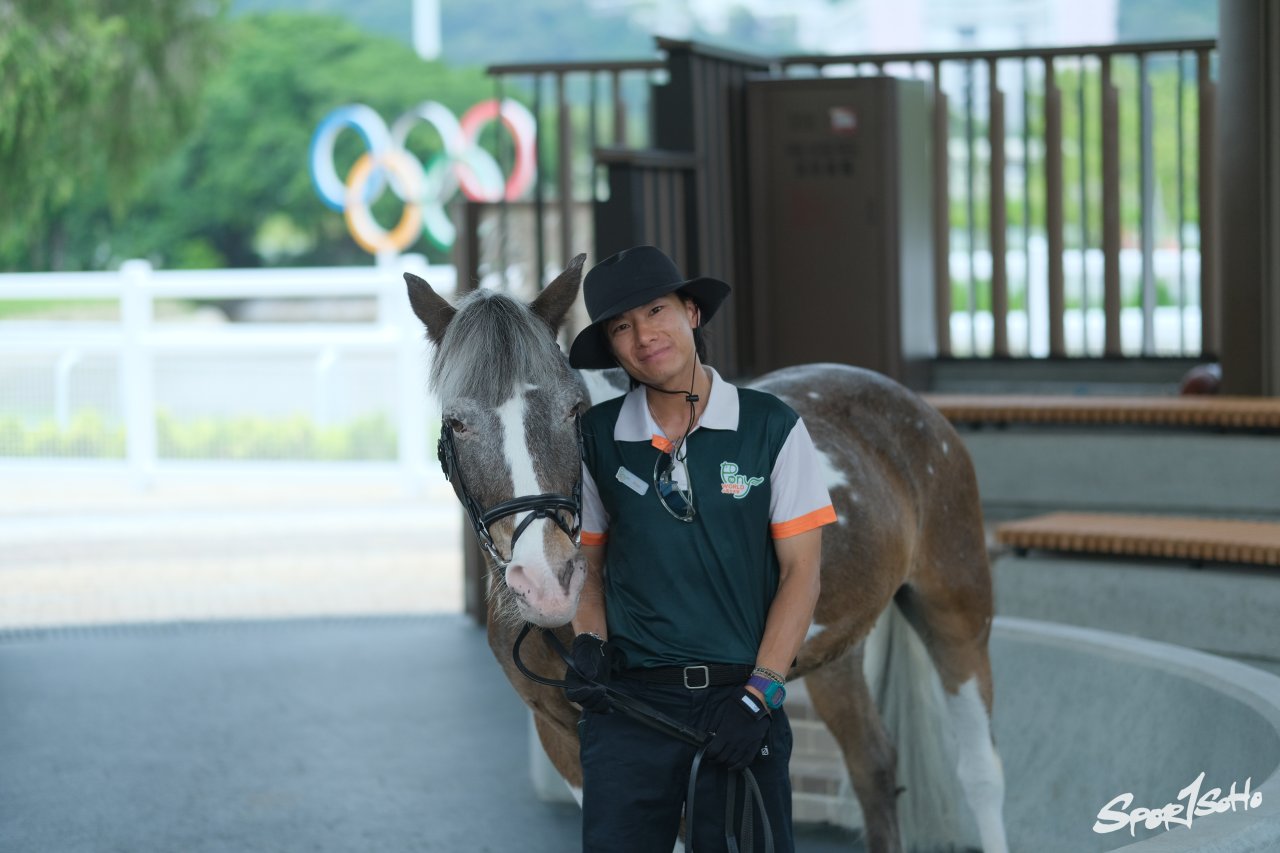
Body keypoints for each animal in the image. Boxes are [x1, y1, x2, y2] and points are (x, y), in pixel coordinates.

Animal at [405, 256, 1009, 853]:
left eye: (572, 410)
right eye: (457, 422)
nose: (549, 581)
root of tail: (913, 408)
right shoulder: (564, 737)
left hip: (956, 613)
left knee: (981, 772)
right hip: (833, 652)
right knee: (874, 766)